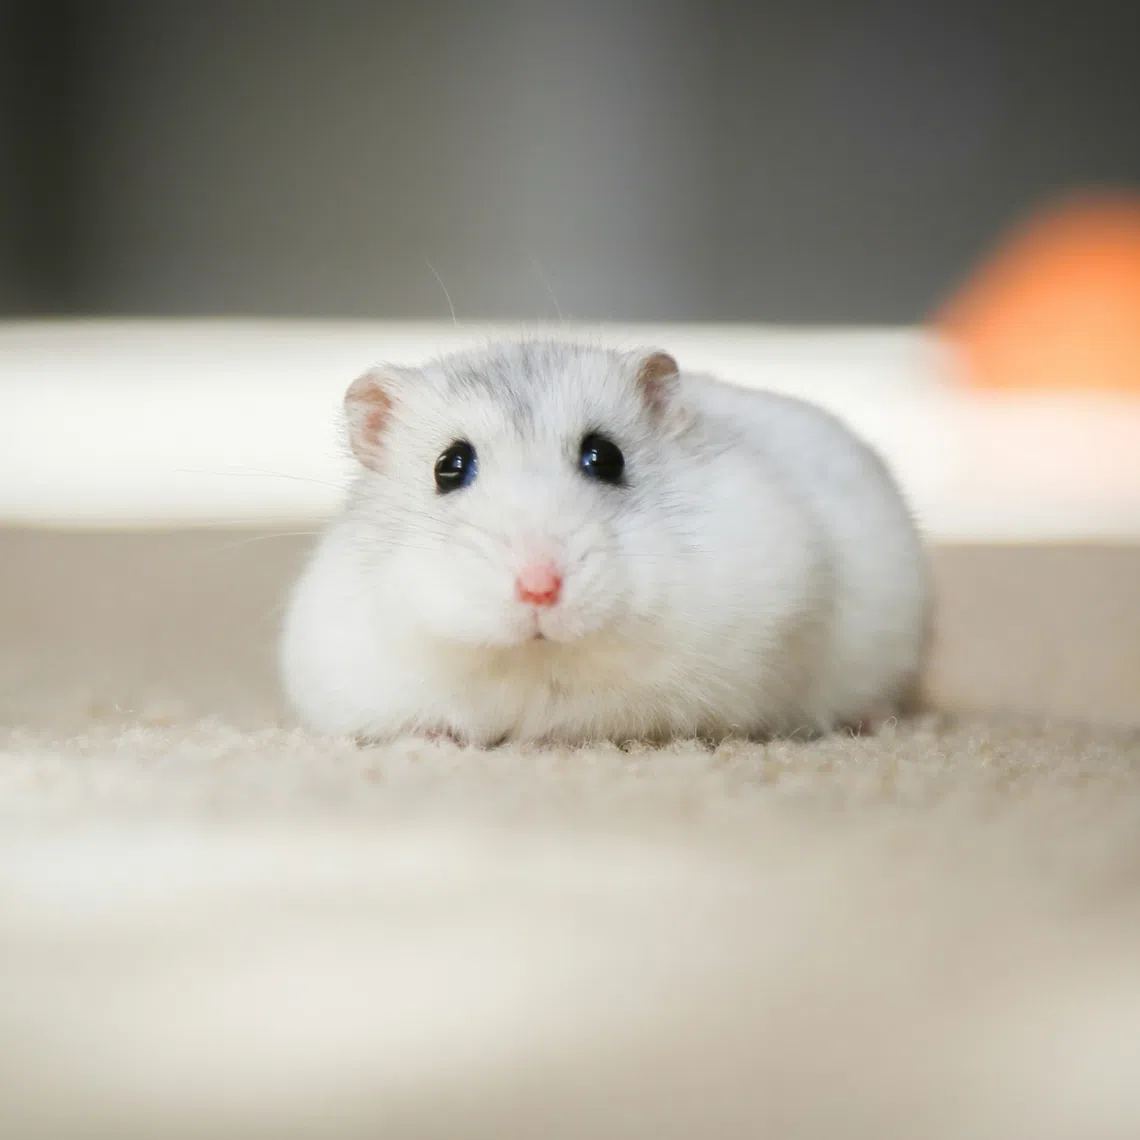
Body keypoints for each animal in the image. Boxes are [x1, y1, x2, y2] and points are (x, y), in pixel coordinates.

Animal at [279, 340, 929, 746]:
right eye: (449, 466)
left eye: (606, 457)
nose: (540, 590)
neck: (537, 657)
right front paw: (433, 743)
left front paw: (543, 742)